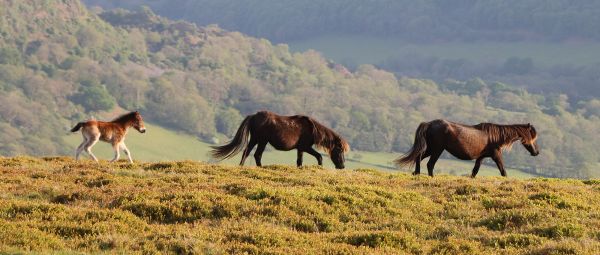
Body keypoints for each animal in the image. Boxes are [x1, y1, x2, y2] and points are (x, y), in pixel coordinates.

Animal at [212, 111, 350, 169]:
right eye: (339, 150)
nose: (342, 166)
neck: (312, 129)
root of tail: (253, 116)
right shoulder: (305, 147)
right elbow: (319, 157)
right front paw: (319, 167)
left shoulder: (300, 149)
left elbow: (299, 162)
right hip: (262, 140)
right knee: (257, 154)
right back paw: (261, 167)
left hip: (255, 139)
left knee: (247, 151)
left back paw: (241, 166)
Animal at [396, 119, 540, 177]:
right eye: (532, 138)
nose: (536, 152)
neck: (496, 136)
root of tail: (429, 123)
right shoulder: (496, 155)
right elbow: (503, 171)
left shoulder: (481, 157)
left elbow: (474, 172)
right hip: (437, 149)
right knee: (430, 164)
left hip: (431, 148)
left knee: (418, 157)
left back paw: (416, 173)